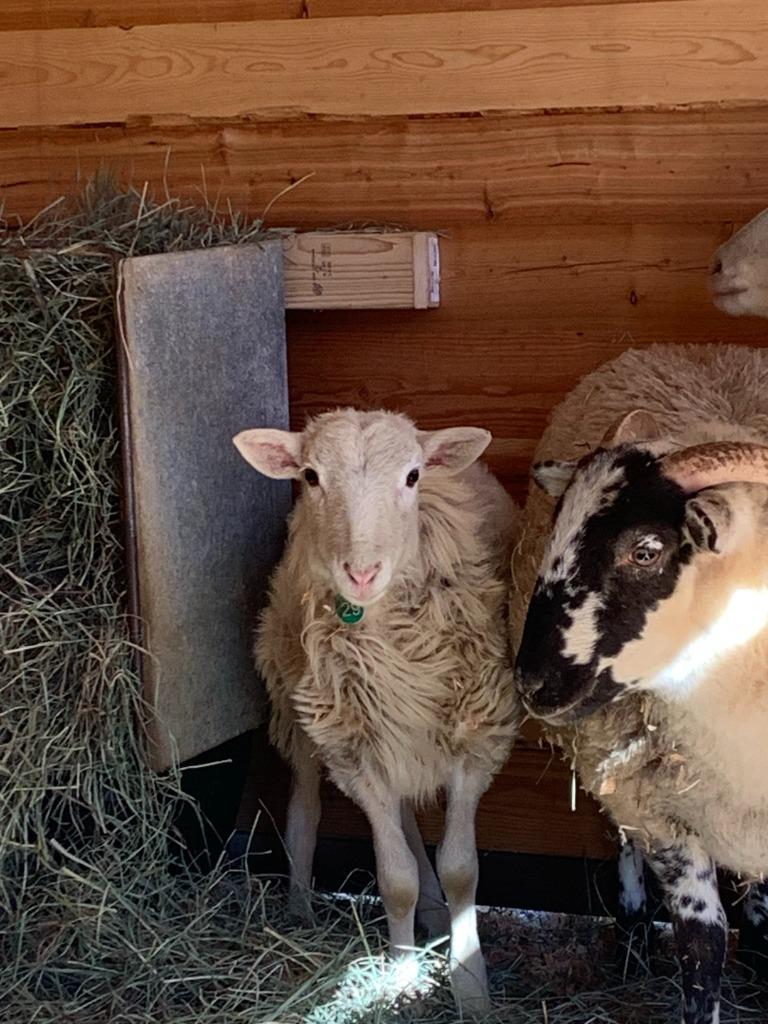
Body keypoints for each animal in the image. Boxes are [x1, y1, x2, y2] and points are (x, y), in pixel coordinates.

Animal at [233, 408, 519, 1013]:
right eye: (311, 476)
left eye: (413, 476)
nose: (361, 573)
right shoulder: (355, 750)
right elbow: (395, 879)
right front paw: (402, 978)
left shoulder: (476, 737)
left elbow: (460, 871)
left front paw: (470, 985)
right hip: (302, 707)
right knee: (306, 808)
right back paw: (299, 908)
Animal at [510, 343, 768, 1024]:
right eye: (556, 535)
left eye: (646, 550)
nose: (532, 683)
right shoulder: (666, 816)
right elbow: (701, 950)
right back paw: (628, 945)